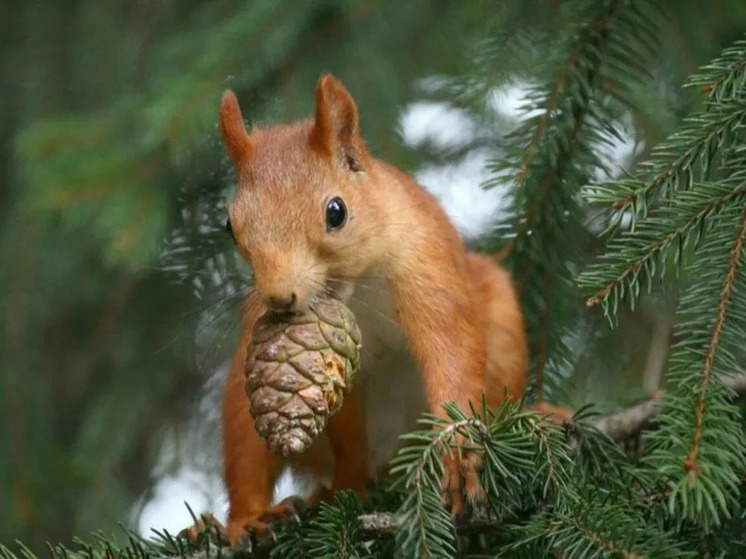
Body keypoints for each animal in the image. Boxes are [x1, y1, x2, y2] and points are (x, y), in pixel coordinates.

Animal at [192, 72, 568, 544]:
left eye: (336, 211)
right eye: (230, 225)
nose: (280, 297)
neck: (358, 286)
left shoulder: (429, 271)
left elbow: (453, 356)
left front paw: (457, 457)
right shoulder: (341, 367)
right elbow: (346, 434)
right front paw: (346, 489)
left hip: (501, 320)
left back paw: (537, 417)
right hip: (244, 389)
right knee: (249, 451)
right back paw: (250, 518)